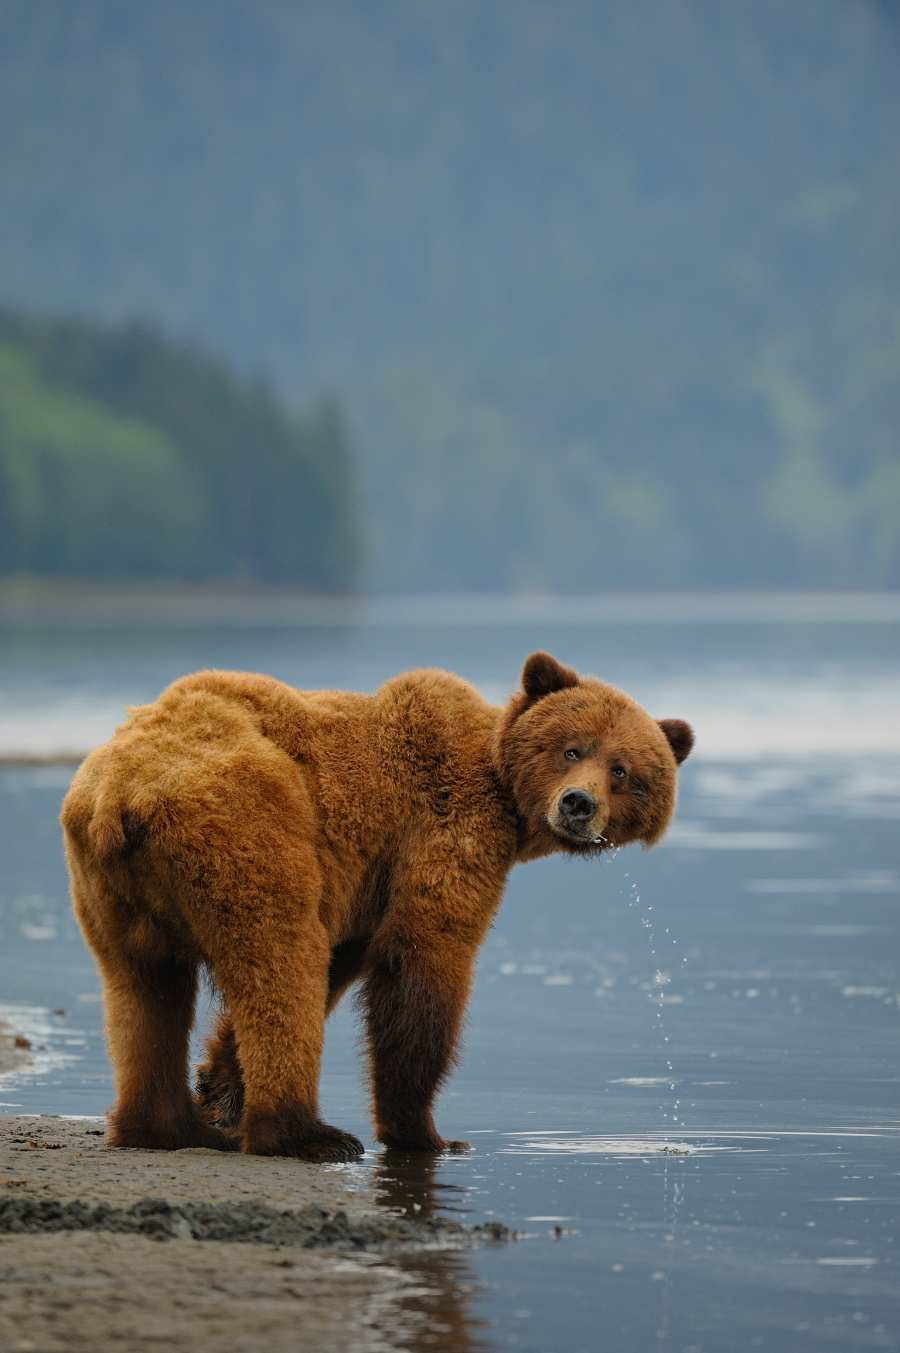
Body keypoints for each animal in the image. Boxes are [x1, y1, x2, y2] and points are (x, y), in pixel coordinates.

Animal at [59, 649, 690, 1158]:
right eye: (570, 749)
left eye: (622, 770)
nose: (579, 804)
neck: (505, 795)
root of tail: (123, 794)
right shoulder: (445, 827)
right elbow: (421, 960)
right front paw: (427, 1133)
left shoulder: (364, 885)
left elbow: (346, 961)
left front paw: (218, 1083)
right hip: (243, 824)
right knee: (280, 960)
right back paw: (305, 1135)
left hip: (108, 886)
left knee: (145, 991)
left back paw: (167, 1127)